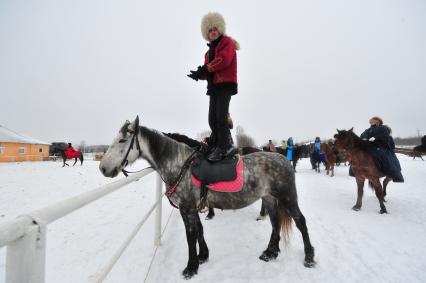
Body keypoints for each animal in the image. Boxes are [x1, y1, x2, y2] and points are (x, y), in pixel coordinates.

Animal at [98, 117, 314, 280]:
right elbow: (199, 230)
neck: (179, 164)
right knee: (275, 222)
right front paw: (203, 257)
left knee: (300, 222)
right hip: (269, 198)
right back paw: (270, 253)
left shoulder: (187, 207)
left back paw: (309, 257)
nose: (103, 168)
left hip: (287, 196)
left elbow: (190, 235)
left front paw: (190, 268)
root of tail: (283, 159)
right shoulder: (192, 208)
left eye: (122, 140)